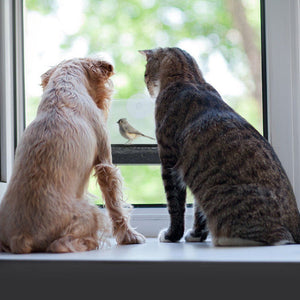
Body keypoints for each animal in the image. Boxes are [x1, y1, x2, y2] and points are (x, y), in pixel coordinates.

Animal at [0, 56, 145, 253]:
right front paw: (130, 236)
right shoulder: (105, 163)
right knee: (61, 244)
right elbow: (115, 204)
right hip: (90, 212)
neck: (63, 89)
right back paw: (89, 243)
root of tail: (21, 237)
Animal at [140, 47, 300, 246]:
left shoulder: (169, 162)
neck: (190, 78)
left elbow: (175, 206)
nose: (147, 87)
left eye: (145, 74)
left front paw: (172, 235)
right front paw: (196, 235)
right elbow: (199, 212)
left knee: (278, 237)